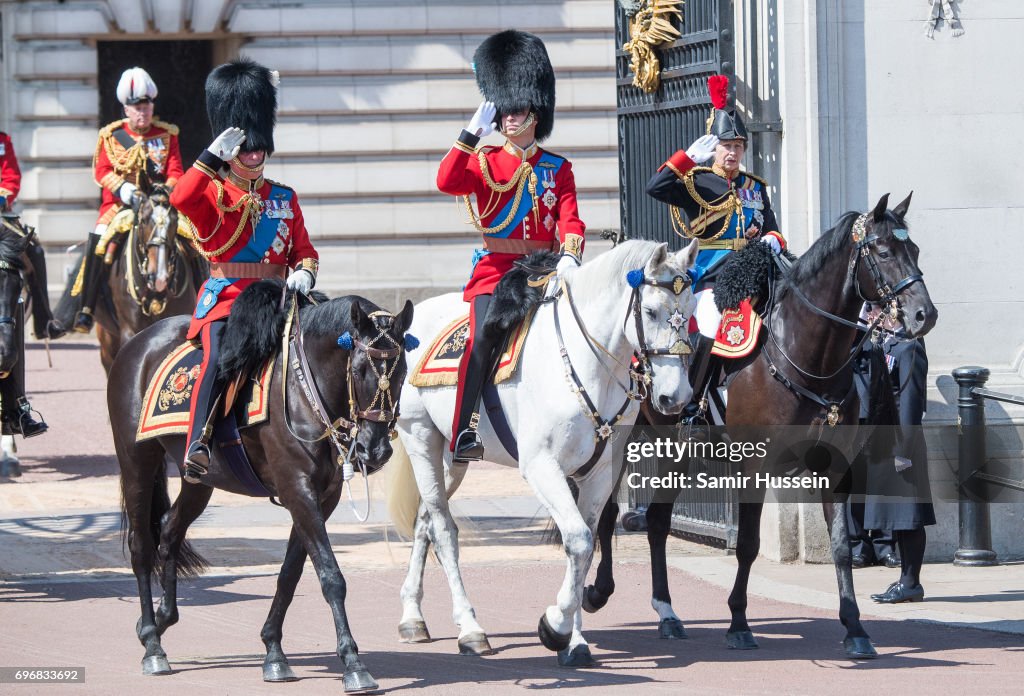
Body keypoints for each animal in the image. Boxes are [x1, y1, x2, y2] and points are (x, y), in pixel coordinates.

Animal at [110, 282, 413, 691]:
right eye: (360, 368)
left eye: (402, 371)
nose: (375, 449)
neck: (305, 389)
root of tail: (137, 342)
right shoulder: (297, 489)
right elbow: (331, 576)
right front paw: (353, 663)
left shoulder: (322, 497)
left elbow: (291, 573)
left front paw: (273, 651)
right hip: (137, 462)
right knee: (141, 545)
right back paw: (152, 645)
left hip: (199, 479)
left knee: (170, 530)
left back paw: (161, 620)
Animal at [387, 240, 700, 667]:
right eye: (651, 311)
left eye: (691, 309)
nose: (675, 397)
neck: (589, 364)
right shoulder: (541, 466)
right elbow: (580, 540)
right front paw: (555, 626)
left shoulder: (599, 473)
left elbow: (584, 546)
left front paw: (574, 640)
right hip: (420, 437)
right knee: (443, 529)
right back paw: (469, 628)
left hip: (450, 457)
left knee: (425, 520)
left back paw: (412, 616)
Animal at [585, 191, 937, 659]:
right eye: (882, 251)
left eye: (913, 249)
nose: (923, 315)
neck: (807, 356)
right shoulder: (755, 466)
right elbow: (748, 546)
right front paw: (738, 622)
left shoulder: (835, 467)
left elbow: (841, 547)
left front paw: (855, 628)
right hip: (620, 443)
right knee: (607, 514)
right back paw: (598, 592)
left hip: (675, 450)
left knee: (657, 522)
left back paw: (667, 613)